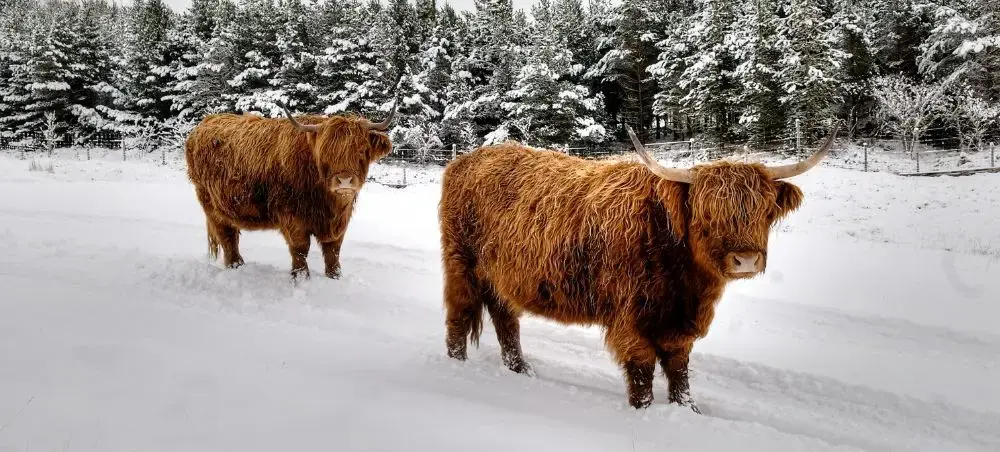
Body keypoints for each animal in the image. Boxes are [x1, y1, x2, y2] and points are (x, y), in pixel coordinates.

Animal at [184, 103, 397, 280]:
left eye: (361, 150)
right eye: (325, 153)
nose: (344, 180)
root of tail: (204, 123)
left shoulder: (338, 222)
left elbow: (333, 250)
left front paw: (335, 276)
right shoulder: (291, 216)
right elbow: (300, 248)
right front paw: (301, 277)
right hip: (210, 204)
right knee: (227, 236)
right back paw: (236, 266)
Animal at [438, 124, 837, 412]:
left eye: (764, 211)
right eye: (707, 214)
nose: (746, 259)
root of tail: (464, 161)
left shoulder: (678, 326)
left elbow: (679, 371)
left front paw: (687, 410)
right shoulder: (631, 321)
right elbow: (643, 373)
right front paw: (644, 412)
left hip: (500, 277)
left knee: (506, 320)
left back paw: (522, 370)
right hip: (461, 265)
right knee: (460, 314)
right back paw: (457, 366)